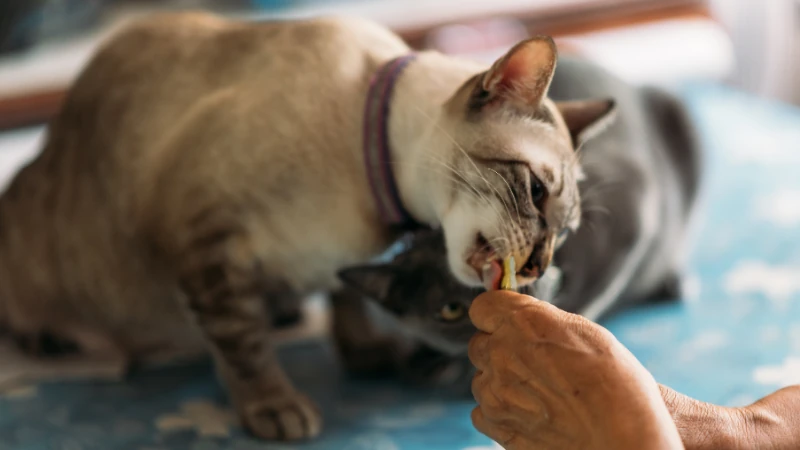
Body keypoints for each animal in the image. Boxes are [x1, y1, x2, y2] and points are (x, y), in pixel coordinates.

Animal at [0, 12, 616, 442]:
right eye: (535, 193)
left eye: (566, 233)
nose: (536, 267)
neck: (375, 205)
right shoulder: (205, 239)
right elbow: (241, 344)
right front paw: (274, 409)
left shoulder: (328, 262)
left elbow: (343, 299)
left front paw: (366, 357)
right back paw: (50, 341)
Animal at [338, 54, 700, 386]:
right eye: (450, 310)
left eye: (563, 231)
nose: (536, 268)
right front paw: (426, 360)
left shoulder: (629, 208)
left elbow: (587, 300)